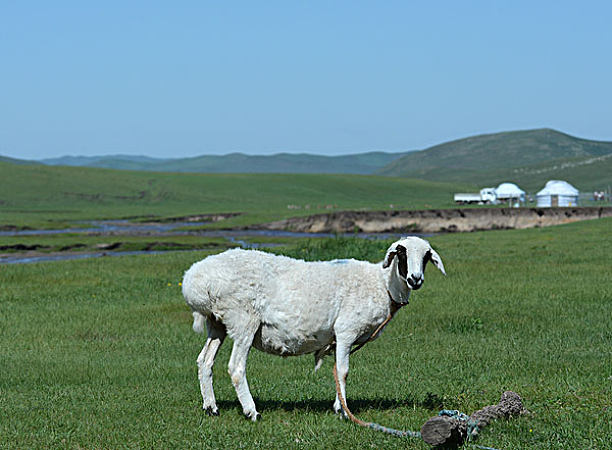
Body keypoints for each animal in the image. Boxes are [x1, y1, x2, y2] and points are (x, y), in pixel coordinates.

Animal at [182, 237, 444, 420]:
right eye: (401, 253)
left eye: (426, 256)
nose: (415, 279)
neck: (382, 285)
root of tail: (194, 280)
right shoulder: (346, 330)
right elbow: (343, 371)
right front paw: (343, 411)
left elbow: (338, 371)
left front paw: (339, 406)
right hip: (243, 319)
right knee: (236, 368)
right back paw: (251, 412)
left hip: (217, 323)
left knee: (204, 361)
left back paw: (211, 407)